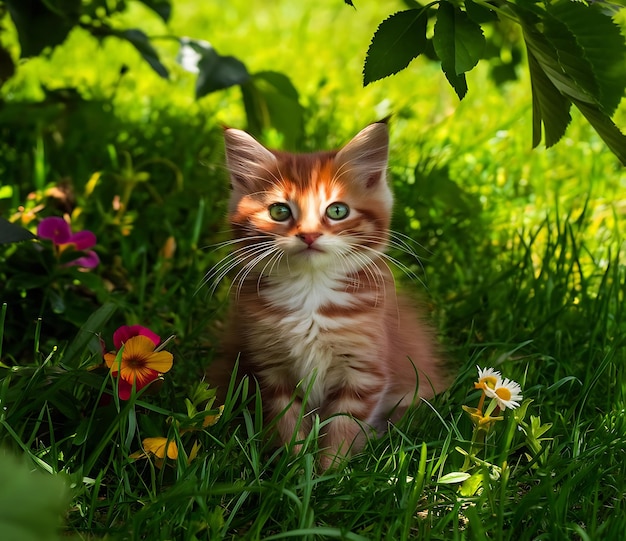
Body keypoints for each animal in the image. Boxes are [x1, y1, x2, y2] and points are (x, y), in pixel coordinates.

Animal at [207, 122, 446, 468]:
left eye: (337, 210)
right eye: (279, 211)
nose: (308, 235)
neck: (310, 292)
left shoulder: (363, 372)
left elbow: (342, 428)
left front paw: (330, 471)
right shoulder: (273, 370)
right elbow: (289, 424)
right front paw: (293, 466)